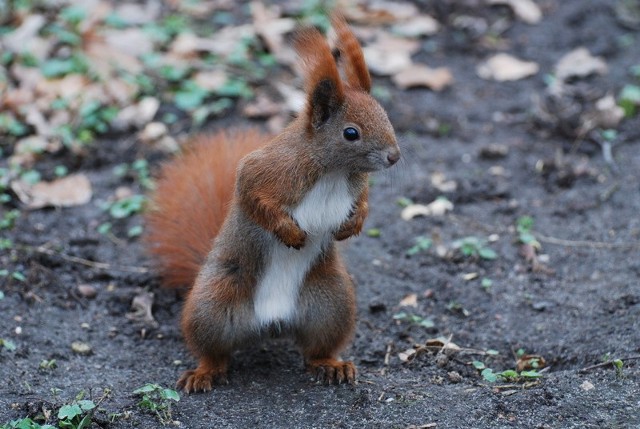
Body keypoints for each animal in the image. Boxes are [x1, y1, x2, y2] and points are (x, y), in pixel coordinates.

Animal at [145, 15, 400, 392]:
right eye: (350, 133)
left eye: (385, 115)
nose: (394, 156)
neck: (333, 171)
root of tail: (272, 324)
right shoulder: (266, 171)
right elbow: (253, 196)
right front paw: (289, 232)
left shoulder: (355, 186)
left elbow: (363, 202)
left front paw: (354, 224)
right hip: (213, 305)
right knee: (214, 352)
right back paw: (204, 372)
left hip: (331, 303)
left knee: (316, 349)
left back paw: (331, 365)